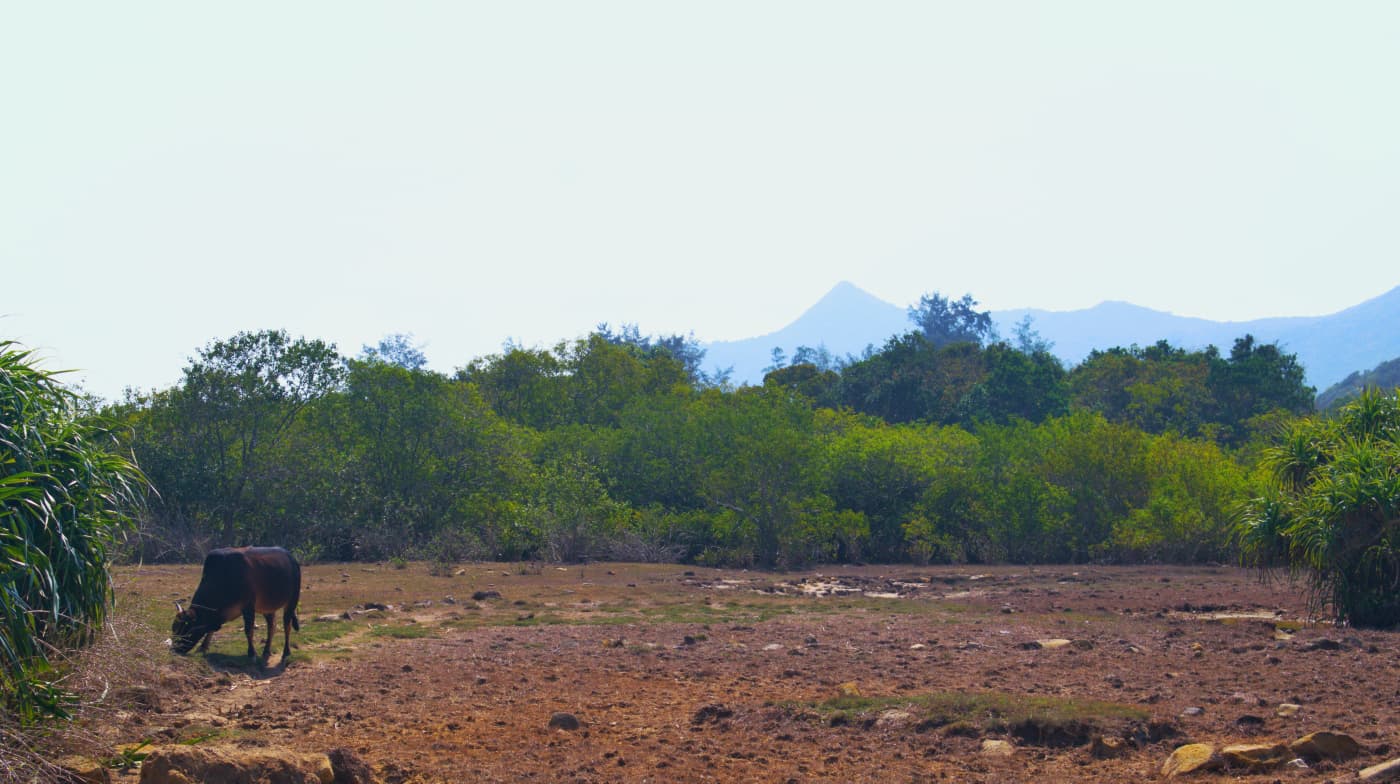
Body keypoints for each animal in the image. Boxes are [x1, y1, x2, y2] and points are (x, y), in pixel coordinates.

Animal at [171, 546, 302, 664]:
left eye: (186, 630)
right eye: (174, 629)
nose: (175, 649)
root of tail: (291, 558)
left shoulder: (248, 607)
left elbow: (248, 631)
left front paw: (251, 654)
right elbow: (211, 629)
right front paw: (203, 647)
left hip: (292, 601)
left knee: (287, 626)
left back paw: (286, 653)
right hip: (268, 608)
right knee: (271, 626)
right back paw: (266, 651)